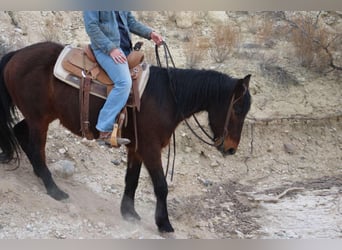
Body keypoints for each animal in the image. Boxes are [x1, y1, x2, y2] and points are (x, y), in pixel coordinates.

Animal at [0, 41, 251, 232]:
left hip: (41, 117)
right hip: (39, 119)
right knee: (36, 147)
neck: (168, 97)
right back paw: (54, 189)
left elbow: (132, 180)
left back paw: (39, 174)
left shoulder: (136, 148)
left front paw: (129, 213)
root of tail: (16, 54)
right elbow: (161, 185)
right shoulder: (150, 148)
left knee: (20, 132)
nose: (231, 149)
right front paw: (164, 224)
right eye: (238, 109)